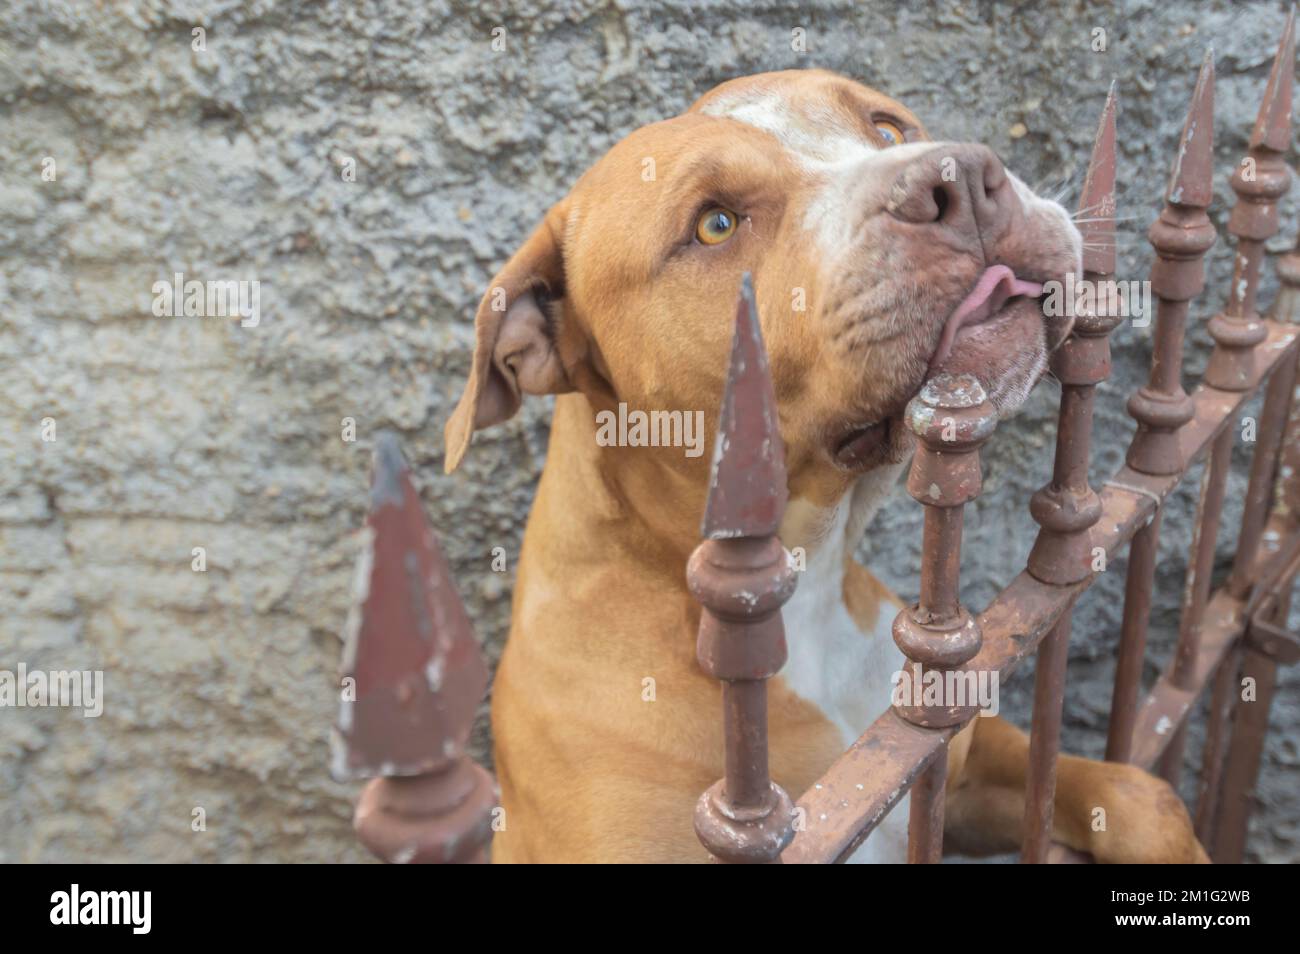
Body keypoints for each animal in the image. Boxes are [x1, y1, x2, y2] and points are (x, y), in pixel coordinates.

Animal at [444, 69, 1206, 868]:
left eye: (889, 127)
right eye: (715, 224)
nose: (961, 177)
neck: (805, 584)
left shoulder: (954, 769)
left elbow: (1140, 794)